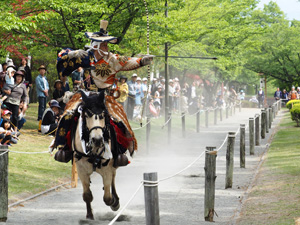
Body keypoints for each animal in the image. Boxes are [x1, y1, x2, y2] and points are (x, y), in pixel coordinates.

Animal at [72, 91, 120, 220]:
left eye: (103, 115)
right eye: (87, 115)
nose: (97, 140)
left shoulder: (107, 169)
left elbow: (107, 198)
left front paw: (114, 202)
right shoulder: (82, 170)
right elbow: (87, 195)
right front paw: (89, 215)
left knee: (113, 178)